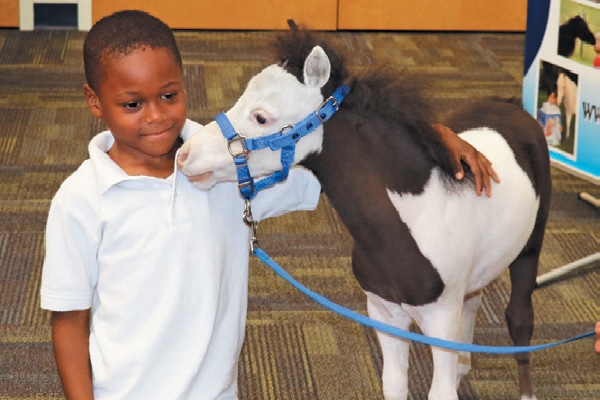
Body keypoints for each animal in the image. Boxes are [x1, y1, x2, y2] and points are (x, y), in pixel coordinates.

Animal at [176, 25, 552, 400]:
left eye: (261, 117)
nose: (185, 155)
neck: (415, 217)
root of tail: (513, 106)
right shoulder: (384, 313)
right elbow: (394, 383)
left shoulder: (442, 321)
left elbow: (441, 390)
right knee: (475, 301)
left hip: (529, 252)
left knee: (520, 320)